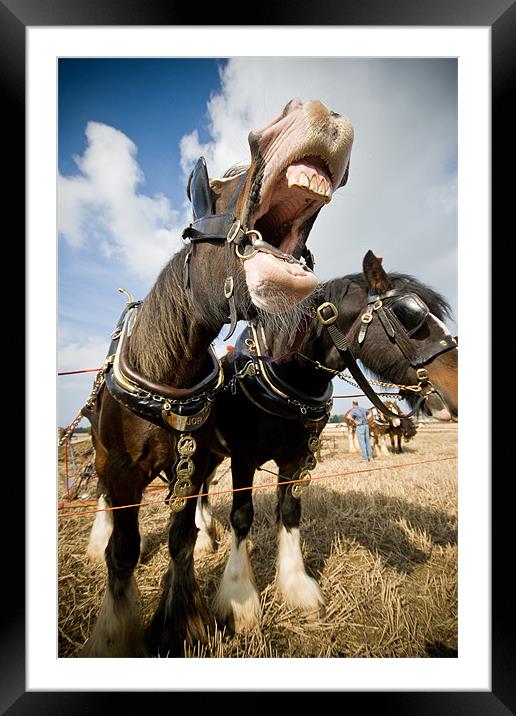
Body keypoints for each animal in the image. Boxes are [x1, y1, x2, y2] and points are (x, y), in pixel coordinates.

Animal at [77, 98, 354, 656]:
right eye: (223, 186)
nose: (317, 110)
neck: (169, 373)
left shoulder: (203, 458)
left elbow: (184, 535)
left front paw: (185, 618)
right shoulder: (127, 470)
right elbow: (125, 550)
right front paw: (117, 631)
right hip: (100, 449)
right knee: (102, 496)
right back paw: (97, 534)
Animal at [195, 252, 460, 632]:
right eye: (409, 314)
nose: (458, 386)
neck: (287, 374)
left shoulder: (296, 458)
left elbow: (290, 512)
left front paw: (296, 587)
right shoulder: (243, 458)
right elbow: (242, 517)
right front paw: (238, 597)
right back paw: (201, 539)